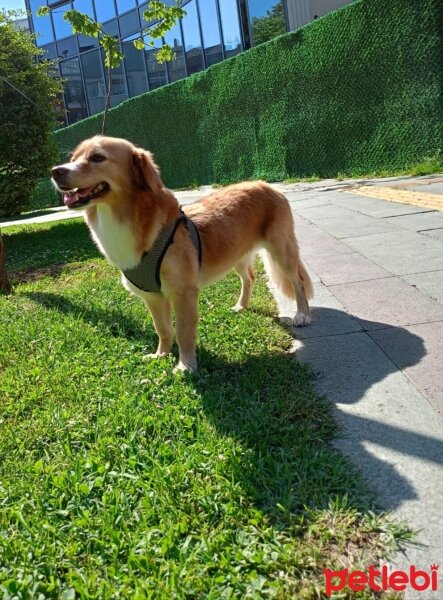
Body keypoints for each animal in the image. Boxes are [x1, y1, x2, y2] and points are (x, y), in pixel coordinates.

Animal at [51, 135, 312, 370]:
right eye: (73, 158)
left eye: (97, 157)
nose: (55, 171)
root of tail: (265, 184)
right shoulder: (153, 296)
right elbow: (163, 329)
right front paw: (161, 355)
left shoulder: (183, 293)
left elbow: (183, 332)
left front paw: (186, 365)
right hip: (236, 255)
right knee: (249, 278)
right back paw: (241, 306)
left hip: (282, 250)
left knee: (297, 281)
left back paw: (302, 314)